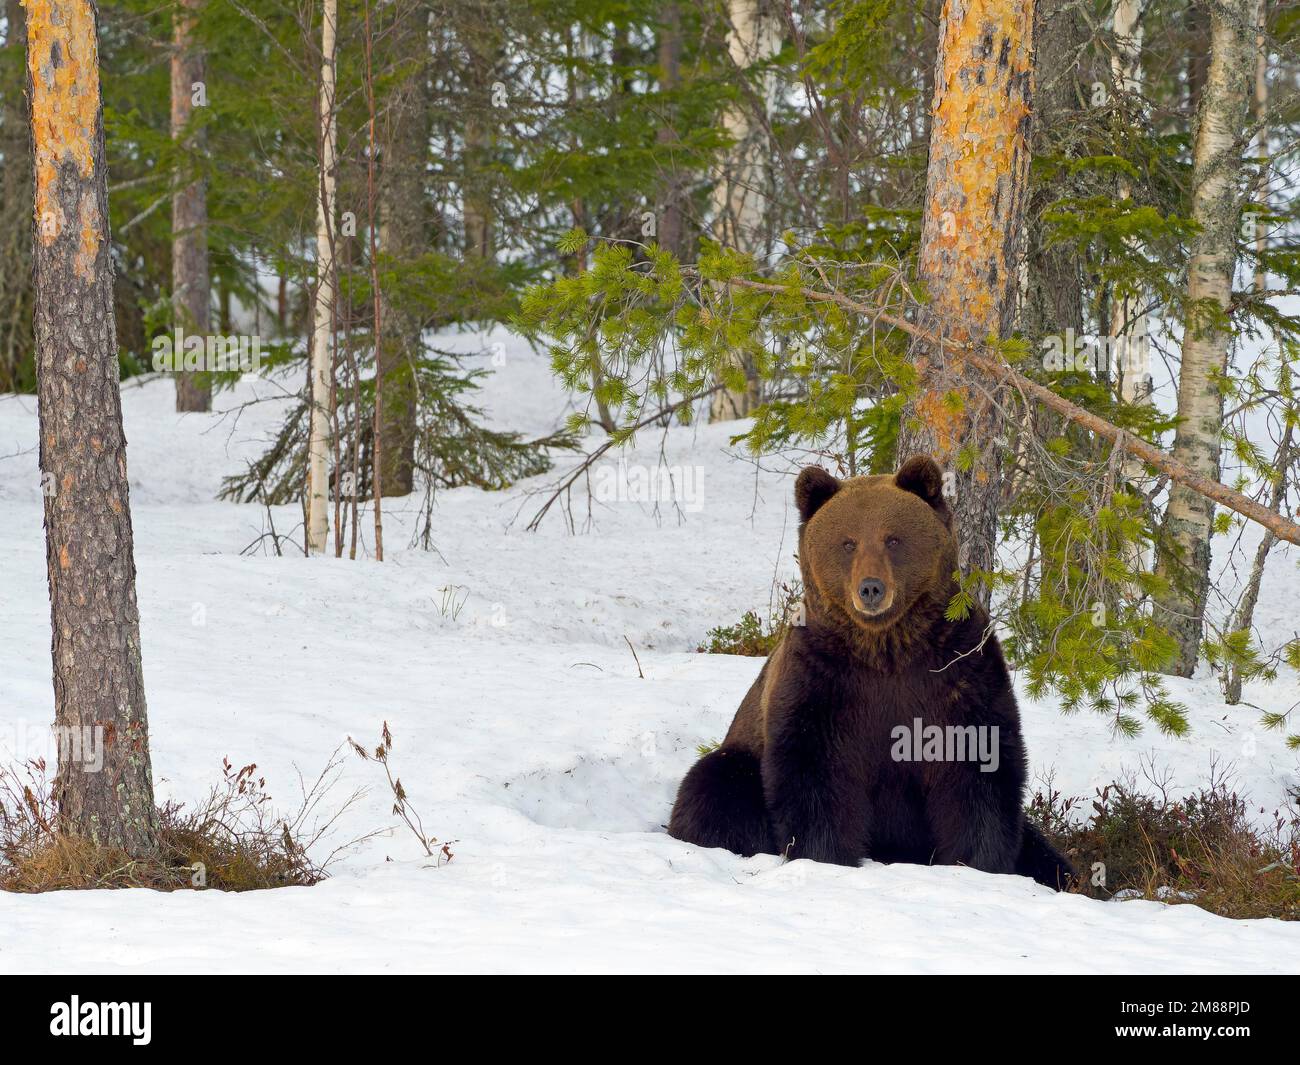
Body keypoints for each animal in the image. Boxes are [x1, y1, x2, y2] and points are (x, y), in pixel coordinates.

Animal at [665, 455, 1071, 889]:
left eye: (893, 539)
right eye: (848, 542)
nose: (871, 588)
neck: (886, 649)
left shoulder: (959, 669)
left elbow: (979, 769)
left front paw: (979, 864)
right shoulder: (821, 678)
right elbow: (814, 773)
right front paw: (827, 856)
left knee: (1046, 853)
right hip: (742, 758)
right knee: (714, 788)